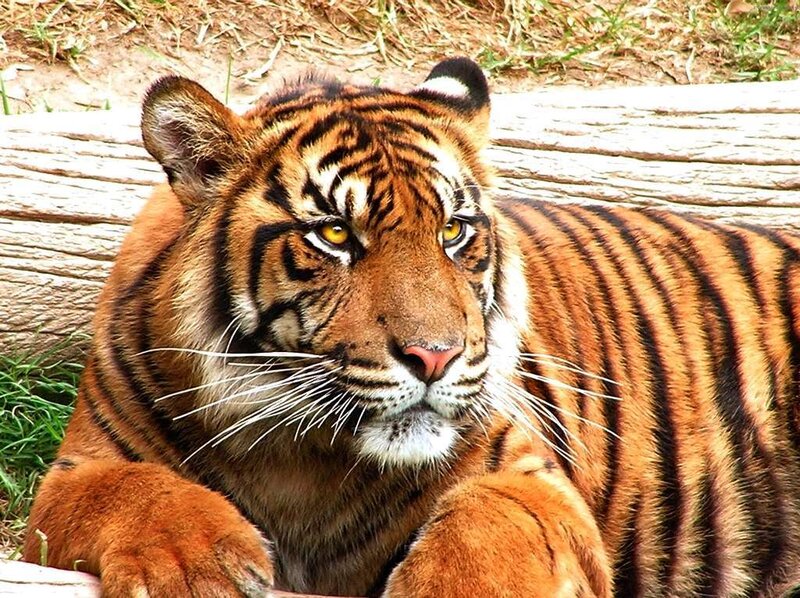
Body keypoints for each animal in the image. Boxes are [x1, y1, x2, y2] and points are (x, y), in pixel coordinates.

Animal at [23, 56, 800, 597]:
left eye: (454, 231)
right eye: (335, 233)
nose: (434, 357)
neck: (295, 458)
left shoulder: (533, 480)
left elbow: (492, 523)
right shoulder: (75, 470)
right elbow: (132, 490)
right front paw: (195, 570)